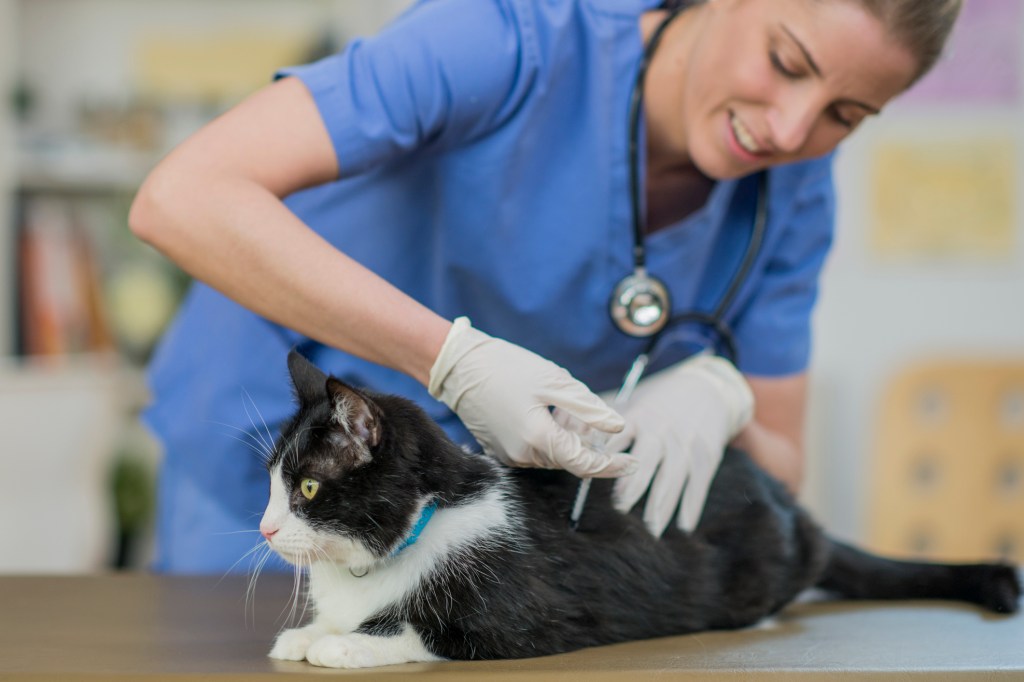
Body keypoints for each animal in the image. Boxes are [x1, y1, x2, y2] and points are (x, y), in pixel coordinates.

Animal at [256, 350, 1015, 667]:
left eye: (309, 489)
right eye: (270, 481)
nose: (264, 527)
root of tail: (794, 508)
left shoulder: (518, 622)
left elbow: (427, 632)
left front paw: (344, 642)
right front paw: (308, 631)